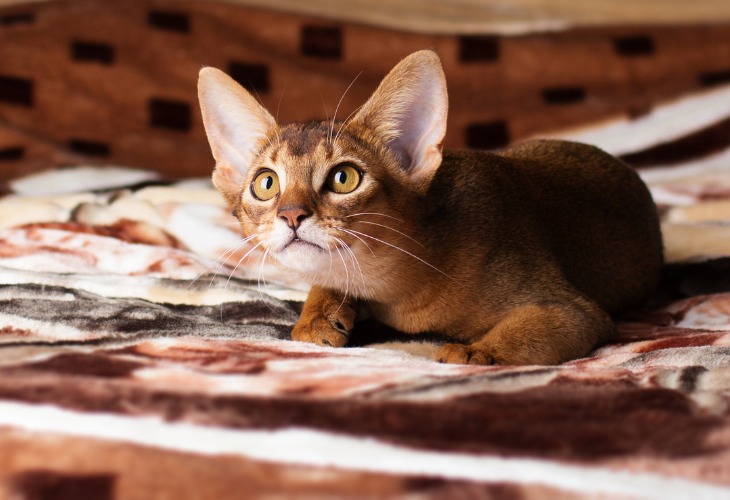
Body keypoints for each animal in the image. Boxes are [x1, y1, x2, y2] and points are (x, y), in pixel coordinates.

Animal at [196, 48, 664, 366]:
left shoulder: (573, 311)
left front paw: (475, 353)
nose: (291, 215)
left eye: (344, 178)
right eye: (266, 183)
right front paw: (318, 317)